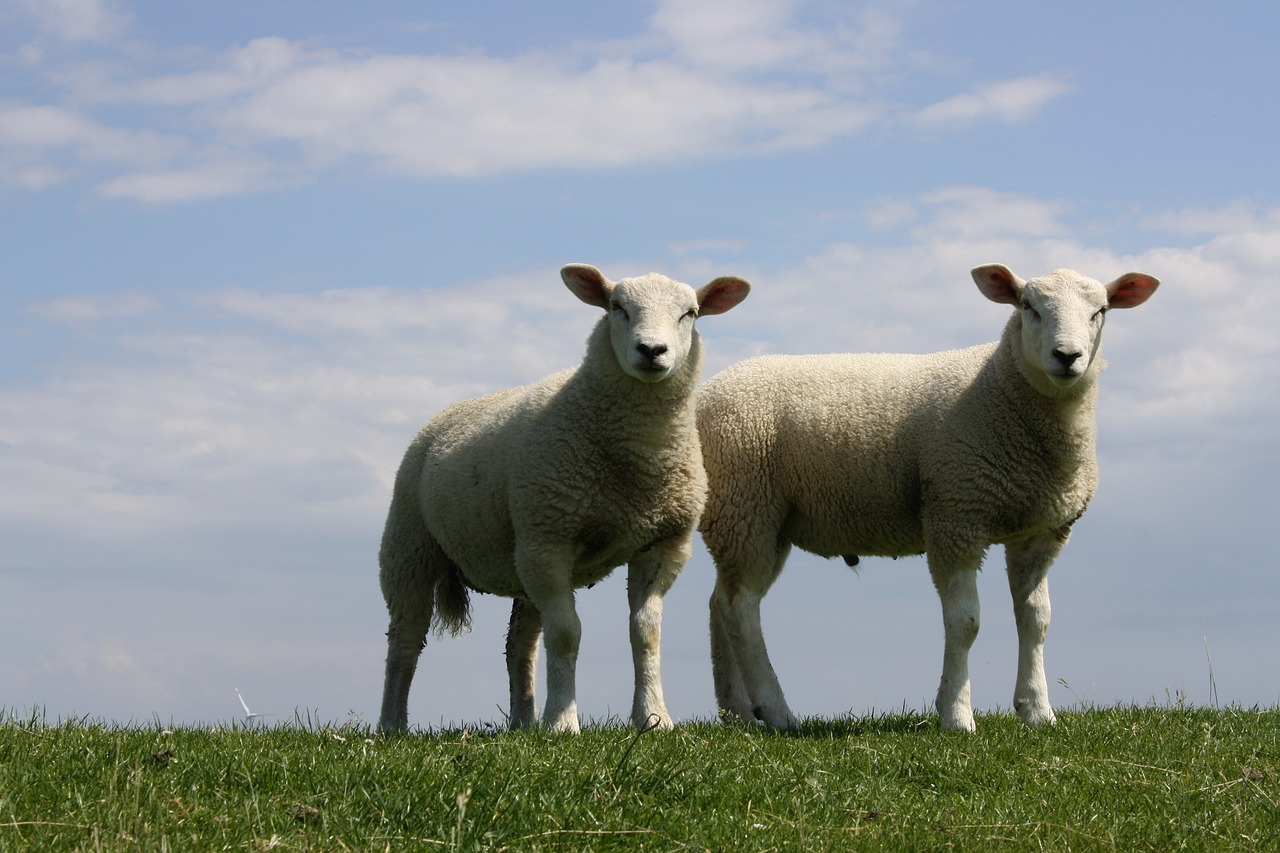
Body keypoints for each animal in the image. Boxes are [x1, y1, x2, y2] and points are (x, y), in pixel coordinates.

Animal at [373, 261, 747, 732]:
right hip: (412, 547)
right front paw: (563, 722)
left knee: (519, 645)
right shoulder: (550, 541)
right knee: (405, 639)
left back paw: (522, 723)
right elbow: (568, 633)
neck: (638, 460)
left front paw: (653, 718)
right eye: (616, 307)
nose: (651, 350)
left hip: (520, 555)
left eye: (690, 313)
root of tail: (441, 416)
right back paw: (392, 724)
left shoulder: (662, 542)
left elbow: (645, 633)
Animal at [701, 263, 1162, 732]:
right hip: (747, 507)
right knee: (742, 609)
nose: (1067, 356)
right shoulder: (955, 514)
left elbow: (1037, 621)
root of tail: (707, 392)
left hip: (757, 521)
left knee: (721, 603)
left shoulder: (1040, 532)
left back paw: (738, 711)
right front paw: (957, 715)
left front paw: (1037, 711)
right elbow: (965, 622)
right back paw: (776, 711)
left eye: (1100, 311)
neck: (1001, 392)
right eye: (1028, 306)